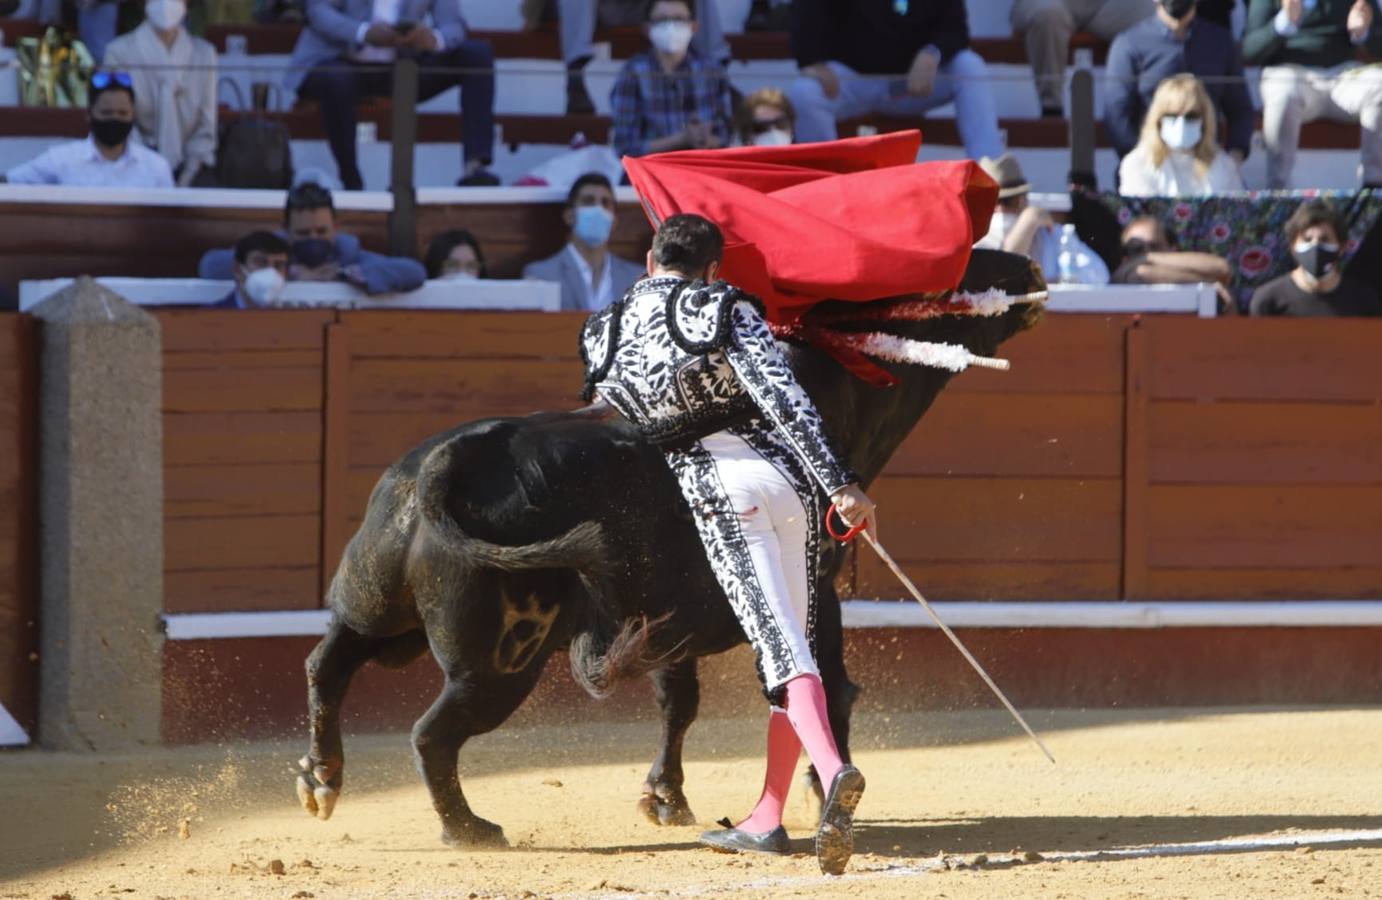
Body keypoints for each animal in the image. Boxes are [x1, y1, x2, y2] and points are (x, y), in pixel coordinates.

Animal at [297, 250, 1039, 846]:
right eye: (956, 273)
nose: (1027, 268)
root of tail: (439, 468)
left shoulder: (667, 615)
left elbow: (677, 702)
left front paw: (665, 797)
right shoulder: (814, 588)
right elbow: (828, 682)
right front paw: (820, 791)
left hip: (377, 609)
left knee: (327, 663)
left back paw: (321, 779)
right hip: (499, 663)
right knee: (432, 733)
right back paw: (468, 828)